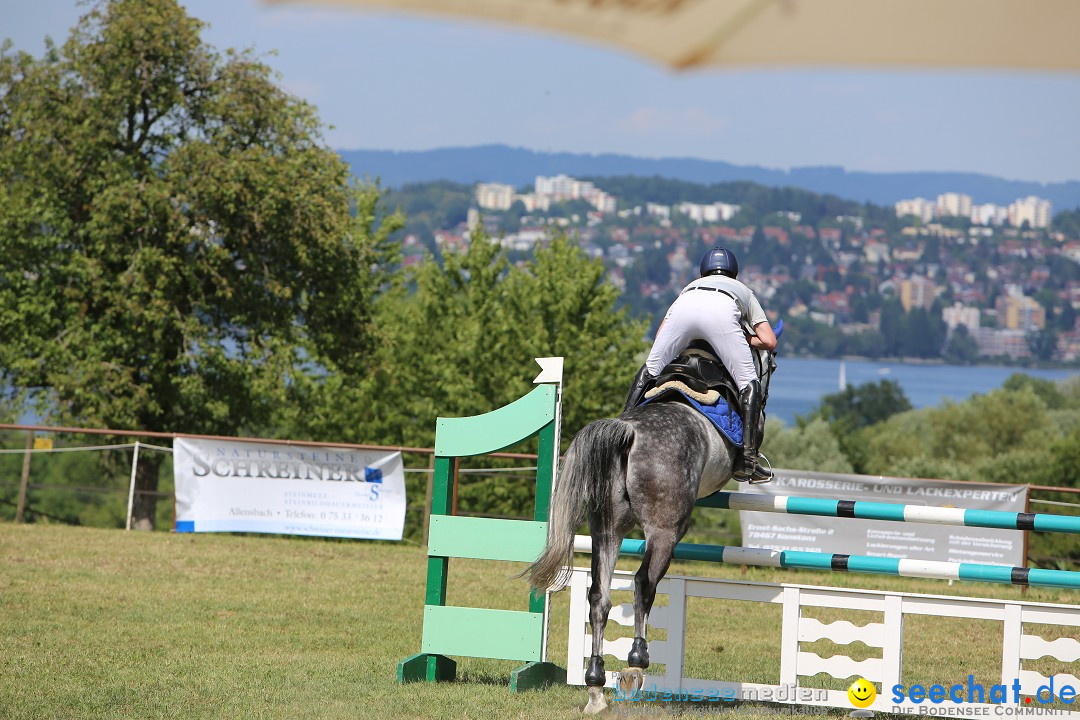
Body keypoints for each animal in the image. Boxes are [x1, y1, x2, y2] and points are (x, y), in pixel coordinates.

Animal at [522, 338, 777, 716]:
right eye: (770, 366)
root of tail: (629, 431)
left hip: (607, 530)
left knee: (599, 596)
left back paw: (596, 686)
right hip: (665, 529)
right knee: (644, 583)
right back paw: (636, 662)